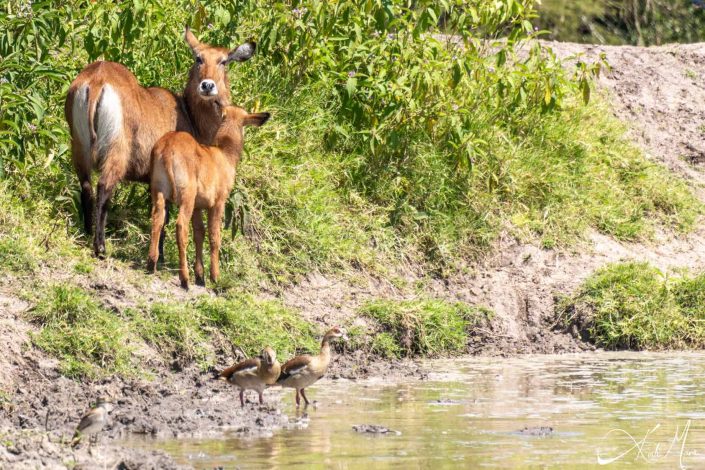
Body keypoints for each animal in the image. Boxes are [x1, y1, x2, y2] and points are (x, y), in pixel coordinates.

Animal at [66, 26, 256, 258]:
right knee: (103, 188)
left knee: (86, 188)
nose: (207, 85)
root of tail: (97, 79)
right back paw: (100, 246)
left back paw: (85, 233)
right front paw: (162, 254)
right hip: (116, 151)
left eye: (224, 61)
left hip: (79, 147)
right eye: (198, 58)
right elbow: (164, 216)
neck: (188, 114)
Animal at [148, 105, 270, 288]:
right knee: (181, 226)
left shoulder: (198, 206)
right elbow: (214, 236)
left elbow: (199, 233)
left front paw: (200, 276)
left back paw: (151, 264)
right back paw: (184, 278)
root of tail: (167, 149)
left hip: (159, 192)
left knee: (158, 220)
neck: (225, 155)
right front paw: (214, 276)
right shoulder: (218, 202)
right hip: (187, 196)